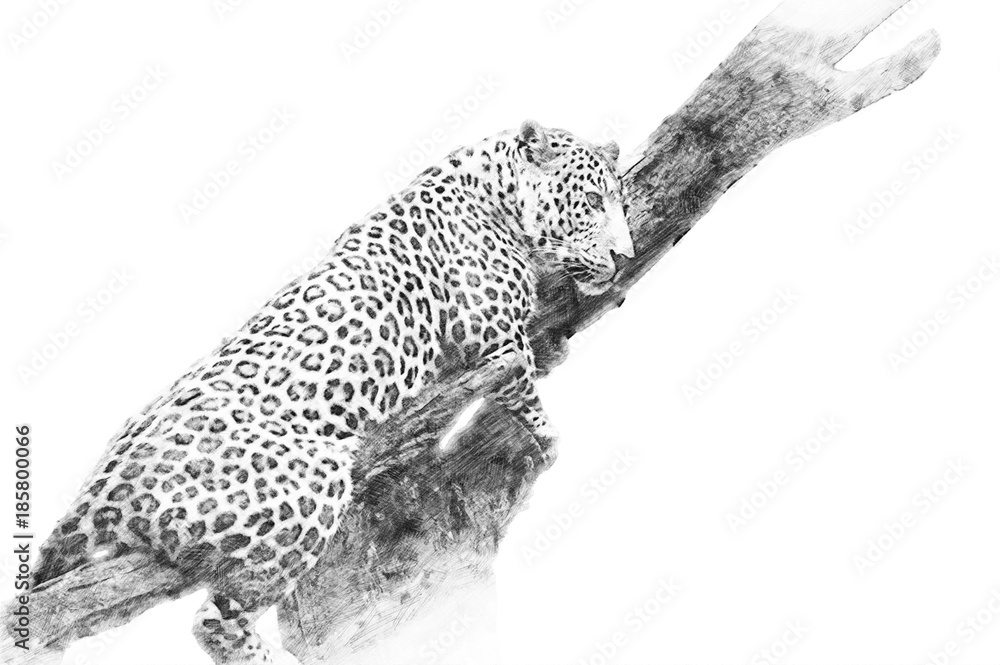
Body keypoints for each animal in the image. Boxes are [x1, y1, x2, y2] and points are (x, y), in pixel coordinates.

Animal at [24, 120, 634, 664]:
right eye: (592, 200)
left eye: (619, 203)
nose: (624, 257)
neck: (491, 189)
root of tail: (99, 486)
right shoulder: (491, 333)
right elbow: (523, 380)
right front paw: (548, 435)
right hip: (311, 484)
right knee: (214, 618)